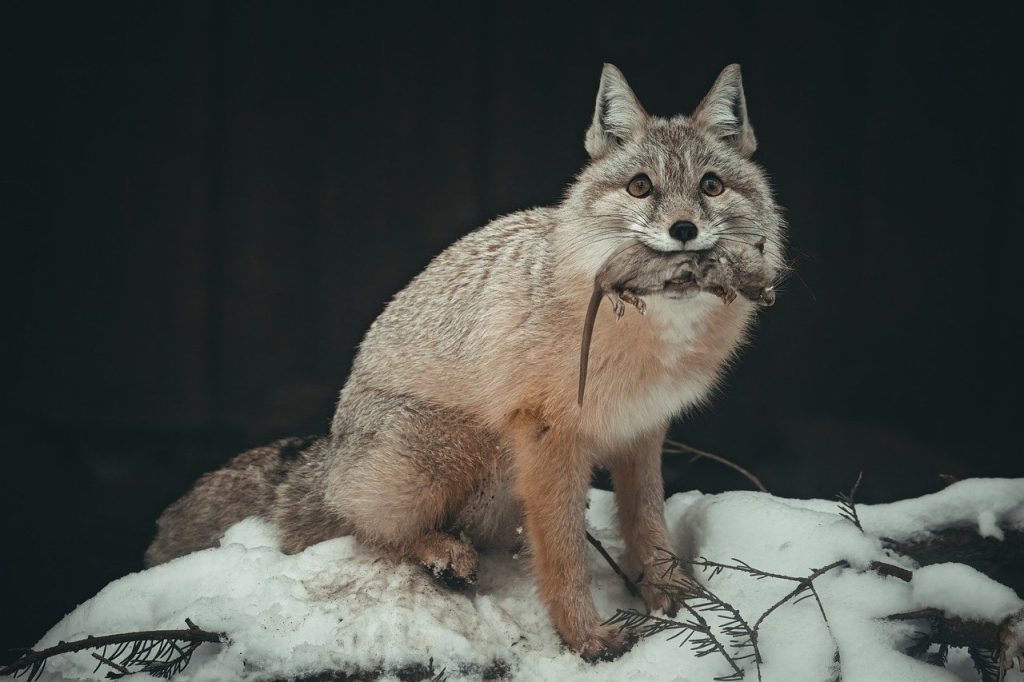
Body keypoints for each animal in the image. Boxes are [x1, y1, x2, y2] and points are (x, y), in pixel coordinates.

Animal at [146, 63, 786, 660]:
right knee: (357, 527)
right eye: (640, 187)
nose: (684, 230)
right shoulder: (548, 434)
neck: (651, 339)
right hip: (463, 446)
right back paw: (439, 551)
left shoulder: (642, 431)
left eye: (710, 186)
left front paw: (677, 604)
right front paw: (585, 635)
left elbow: (650, 532)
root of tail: (330, 451)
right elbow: (563, 554)